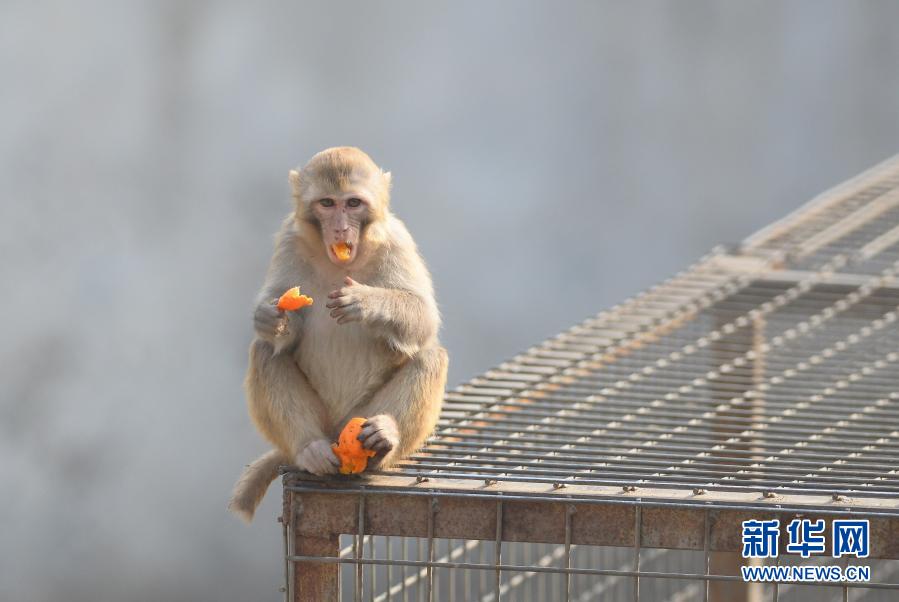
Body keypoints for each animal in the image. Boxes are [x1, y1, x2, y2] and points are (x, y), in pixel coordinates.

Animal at [229, 146, 446, 520]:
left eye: (353, 203)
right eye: (327, 203)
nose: (341, 227)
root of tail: (336, 434)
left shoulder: (397, 240)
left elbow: (424, 318)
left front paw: (366, 301)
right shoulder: (289, 239)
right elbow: (278, 327)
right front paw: (271, 318)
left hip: (361, 416)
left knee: (430, 354)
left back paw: (384, 440)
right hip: (322, 420)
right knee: (265, 352)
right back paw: (310, 449)